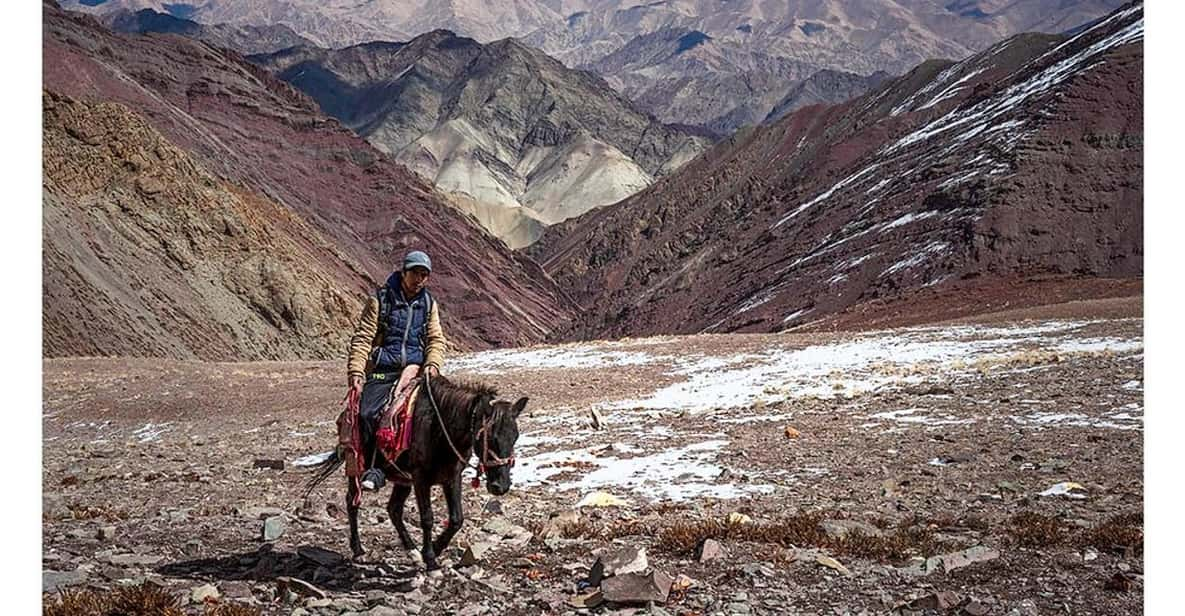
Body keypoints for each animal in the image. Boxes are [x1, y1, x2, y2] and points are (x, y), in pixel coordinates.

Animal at [305, 374, 528, 573]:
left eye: (515, 437)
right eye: (489, 437)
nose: (500, 486)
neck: (440, 427)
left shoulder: (451, 477)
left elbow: (457, 519)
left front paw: (434, 549)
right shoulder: (421, 479)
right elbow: (427, 518)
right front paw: (430, 560)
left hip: (402, 479)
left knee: (393, 509)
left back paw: (412, 551)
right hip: (356, 468)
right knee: (353, 502)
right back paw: (359, 550)